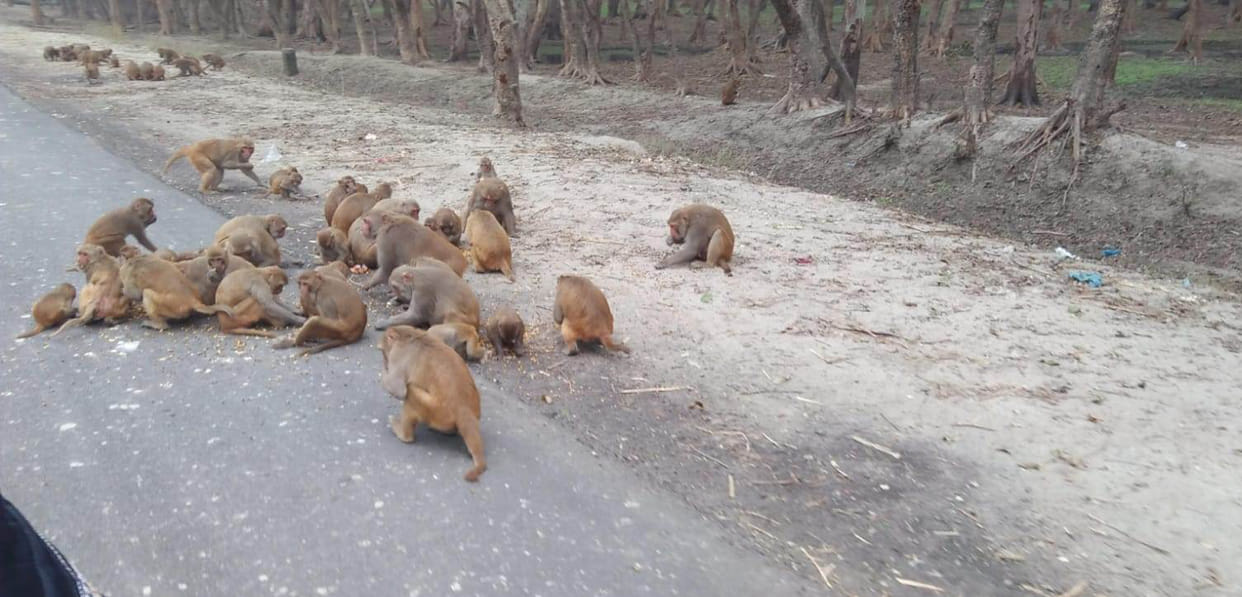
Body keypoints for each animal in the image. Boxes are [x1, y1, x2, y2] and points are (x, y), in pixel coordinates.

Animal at [378, 325, 486, 482]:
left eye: (383, 353)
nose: (385, 362)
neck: (407, 334)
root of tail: (464, 410)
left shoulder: (398, 355)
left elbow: (398, 389)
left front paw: (383, 374)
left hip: (437, 409)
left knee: (411, 391)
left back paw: (403, 434)